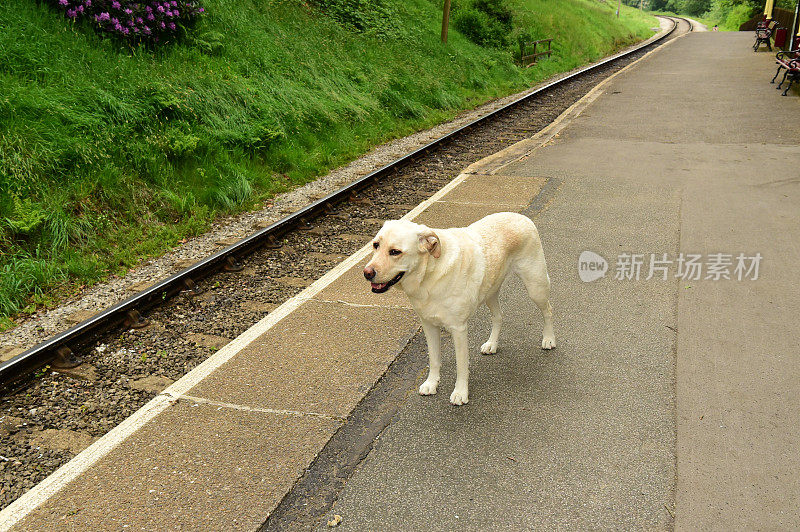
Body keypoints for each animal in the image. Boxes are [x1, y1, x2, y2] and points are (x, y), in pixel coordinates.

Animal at [364, 212, 556, 404]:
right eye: (375, 245)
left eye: (395, 252)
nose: (366, 273)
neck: (430, 274)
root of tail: (519, 216)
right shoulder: (429, 325)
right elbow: (434, 359)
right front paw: (431, 383)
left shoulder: (459, 329)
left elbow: (461, 365)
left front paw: (460, 392)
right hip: (490, 291)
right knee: (499, 316)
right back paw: (492, 344)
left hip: (535, 286)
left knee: (548, 310)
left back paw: (549, 339)